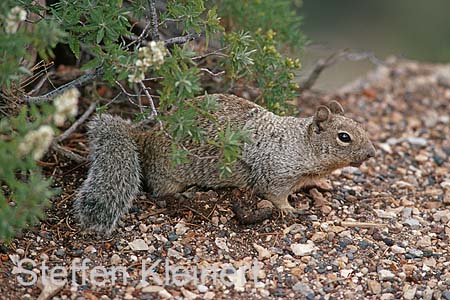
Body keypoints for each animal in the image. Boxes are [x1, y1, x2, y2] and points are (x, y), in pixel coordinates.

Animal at [74, 94, 376, 234]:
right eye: (344, 137)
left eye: (360, 125)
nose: (372, 153)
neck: (298, 145)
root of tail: (145, 138)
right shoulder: (276, 175)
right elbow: (276, 196)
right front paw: (291, 209)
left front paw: (322, 184)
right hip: (169, 175)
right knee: (160, 191)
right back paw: (186, 194)